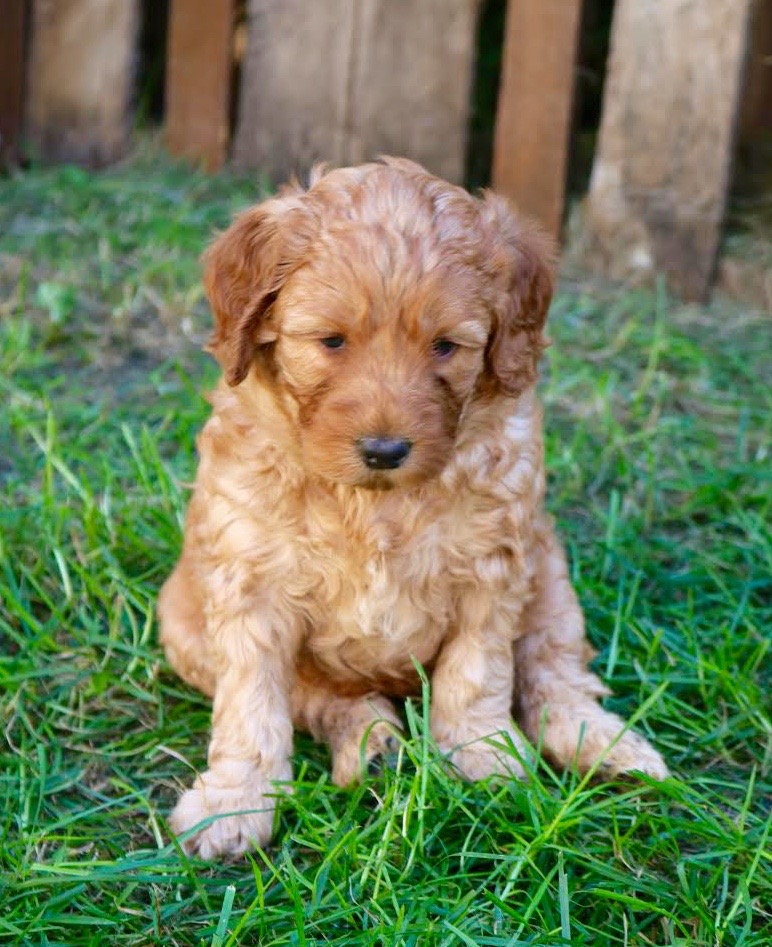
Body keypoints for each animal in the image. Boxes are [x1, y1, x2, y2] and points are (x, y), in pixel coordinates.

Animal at [158, 157, 668, 860]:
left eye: (445, 346)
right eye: (331, 341)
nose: (385, 449)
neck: (374, 504)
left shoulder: (495, 566)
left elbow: (477, 672)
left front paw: (481, 755)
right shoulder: (247, 582)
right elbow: (253, 704)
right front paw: (234, 802)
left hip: (551, 576)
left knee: (553, 670)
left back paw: (608, 746)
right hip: (183, 624)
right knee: (320, 696)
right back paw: (373, 746)